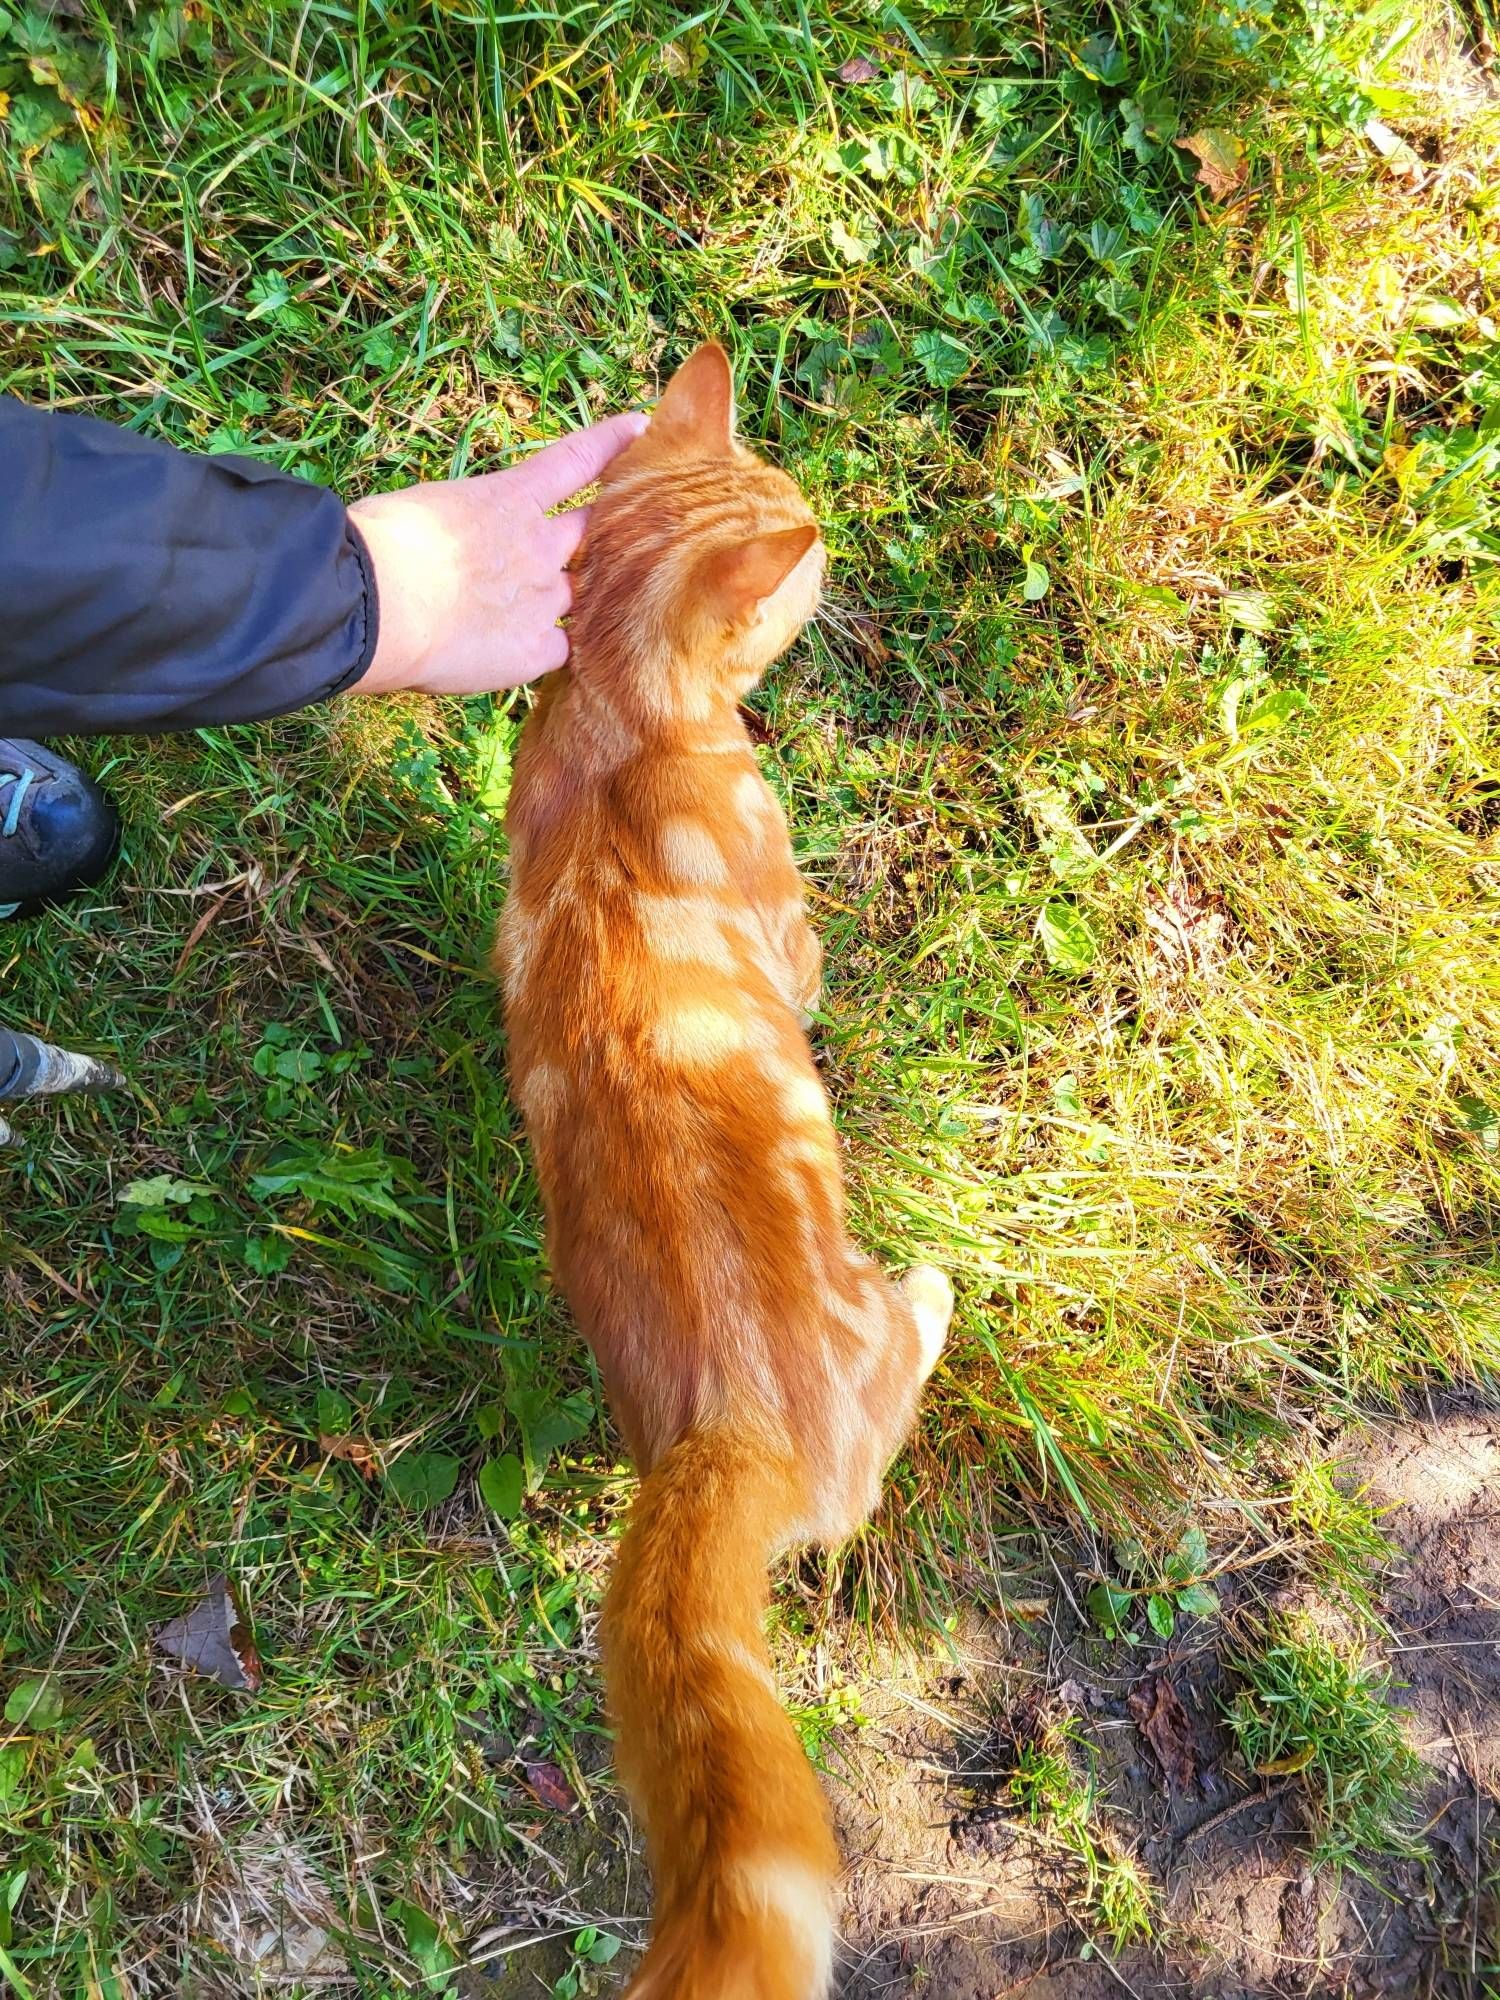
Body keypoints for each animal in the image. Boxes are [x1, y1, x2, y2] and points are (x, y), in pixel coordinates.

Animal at [502, 348, 952, 2000]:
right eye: (801, 541)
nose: (835, 536)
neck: (620, 725)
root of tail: (729, 1432)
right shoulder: (788, 921)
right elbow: (810, 961)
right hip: (878, 1318)